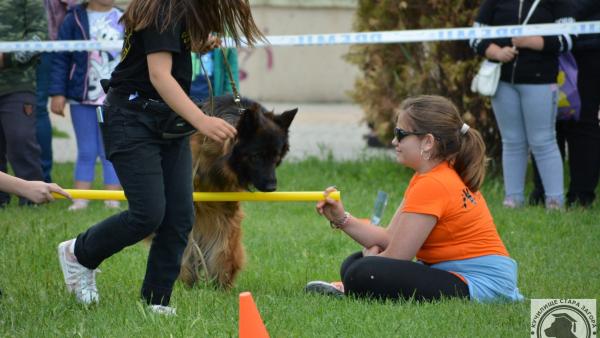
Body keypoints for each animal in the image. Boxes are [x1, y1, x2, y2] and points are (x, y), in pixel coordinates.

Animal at [179, 94, 298, 288]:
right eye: (256, 156)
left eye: (276, 157)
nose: (272, 187)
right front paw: (187, 277)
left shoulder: (225, 209)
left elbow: (224, 246)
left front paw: (221, 282)